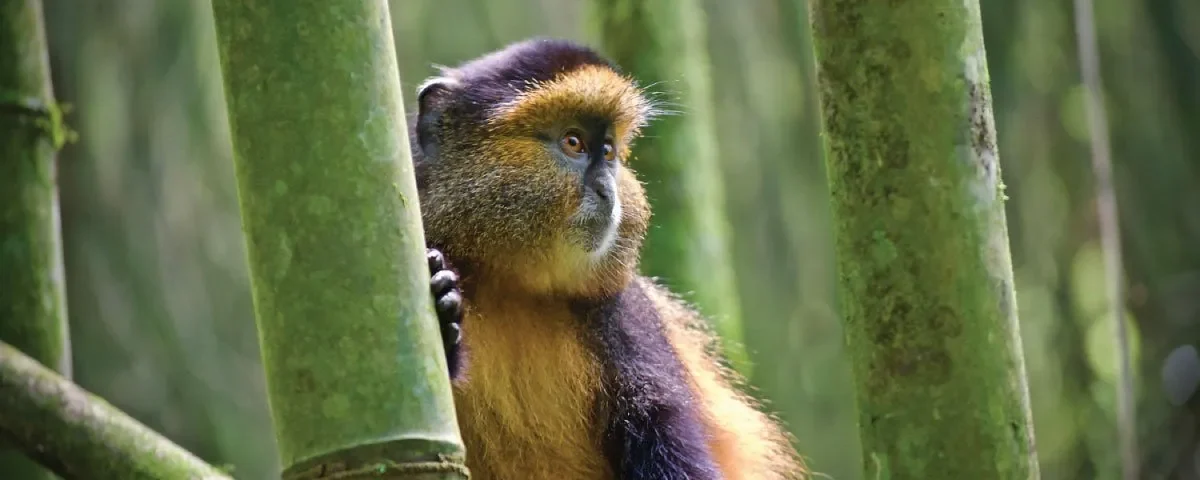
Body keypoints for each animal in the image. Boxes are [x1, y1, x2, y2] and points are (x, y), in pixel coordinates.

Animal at [413, 38, 806, 480]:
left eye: (608, 152)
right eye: (573, 142)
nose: (608, 190)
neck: (510, 285)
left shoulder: (627, 321)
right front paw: (441, 313)